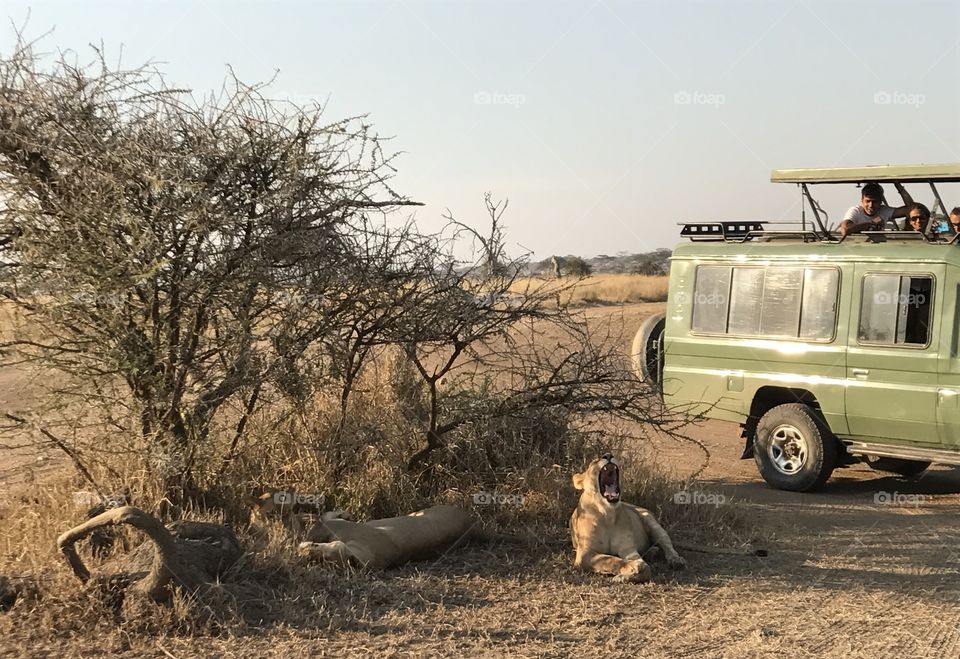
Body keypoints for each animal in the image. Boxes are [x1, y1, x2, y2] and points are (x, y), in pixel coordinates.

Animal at [568, 454, 684, 584]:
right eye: (594, 462)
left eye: (611, 455)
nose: (608, 455)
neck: (607, 514)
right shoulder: (584, 553)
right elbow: (609, 560)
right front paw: (632, 568)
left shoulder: (628, 548)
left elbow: (644, 568)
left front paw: (627, 574)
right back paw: (652, 553)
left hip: (653, 523)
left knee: (667, 545)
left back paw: (675, 560)